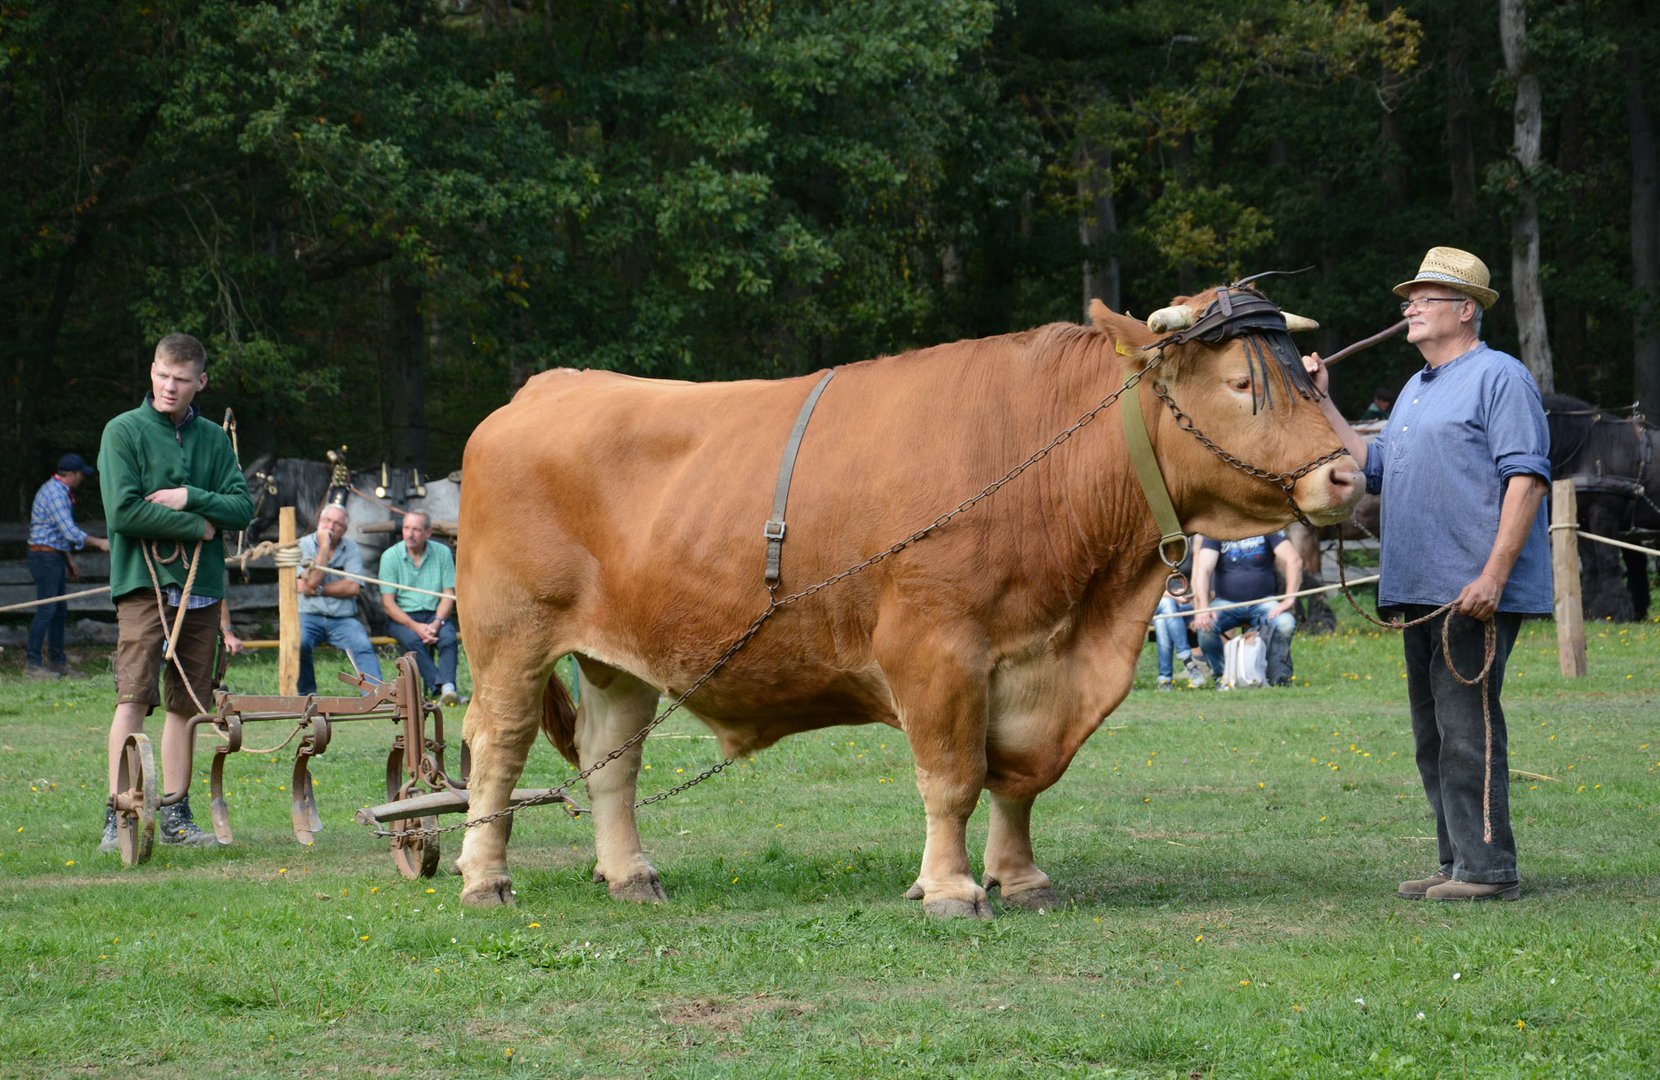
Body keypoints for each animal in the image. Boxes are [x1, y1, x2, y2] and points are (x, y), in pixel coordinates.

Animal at [1540, 394, 1660, 617]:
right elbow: (1591, 564)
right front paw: (1589, 607)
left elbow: (1607, 559)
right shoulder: (1581, 519)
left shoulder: (1604, 513)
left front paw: (1615, 609)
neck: (1585, 446)